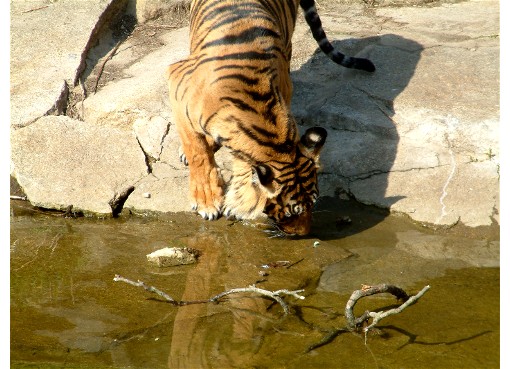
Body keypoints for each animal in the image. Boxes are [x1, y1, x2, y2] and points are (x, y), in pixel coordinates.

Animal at [167, 0, 374, 236]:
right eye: (291, 213)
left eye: (313, 203)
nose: (304, 234)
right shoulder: (177, 83)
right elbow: (197, 151)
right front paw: (207, 202)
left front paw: (237, 202)